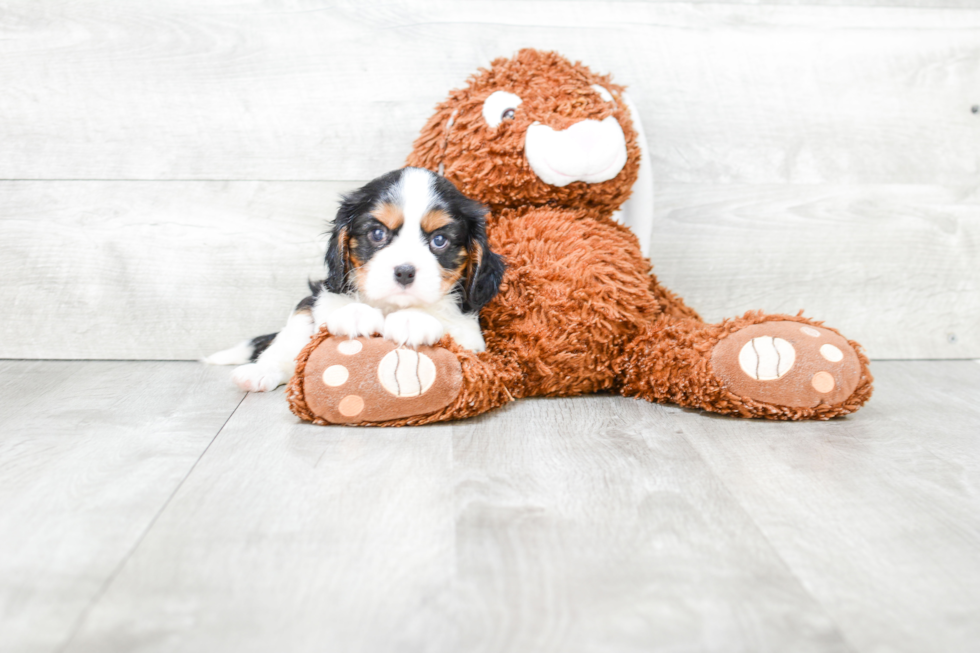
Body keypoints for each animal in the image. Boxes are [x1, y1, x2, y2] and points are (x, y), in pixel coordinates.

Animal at [202, 168, 502, 392]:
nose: (405, 271)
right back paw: (260, 371)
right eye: (378, 234)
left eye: (439, 240)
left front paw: (413, 318)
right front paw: (355, 314)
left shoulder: (472, 339)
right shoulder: (320, 295)